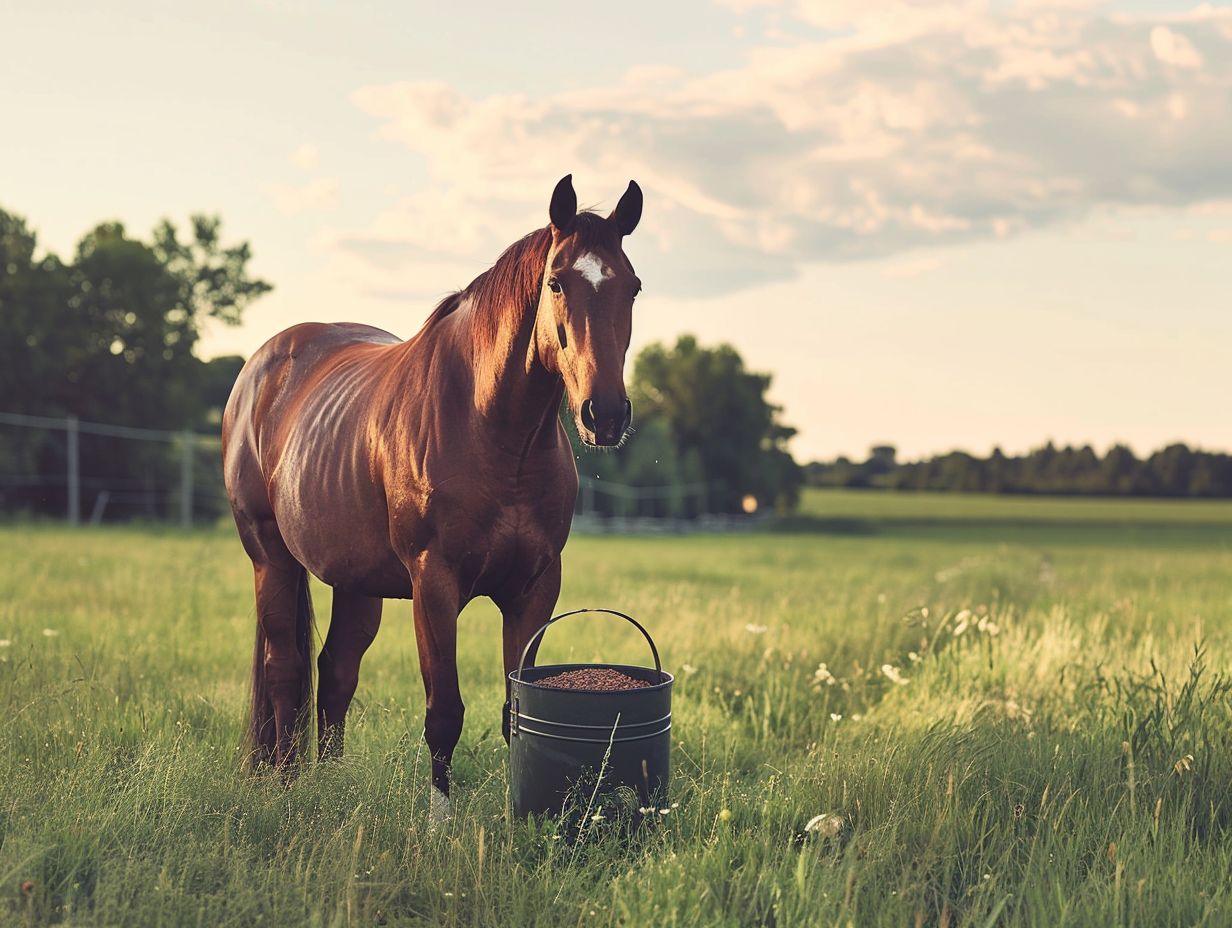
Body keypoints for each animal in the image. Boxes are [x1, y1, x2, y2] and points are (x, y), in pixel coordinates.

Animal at [224, 173, 645, 818]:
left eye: (633, 287)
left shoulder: (535, 587)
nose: (606, 414)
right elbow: (444, 711)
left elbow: (517, 709)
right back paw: (285, 785)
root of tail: (260, 371)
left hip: (357, 582)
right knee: (285, 670)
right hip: (271, 559)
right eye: (556, 282)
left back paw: (329, 784)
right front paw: (439, 821)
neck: (492, 430)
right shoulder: (434, 584)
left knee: (335, 672)